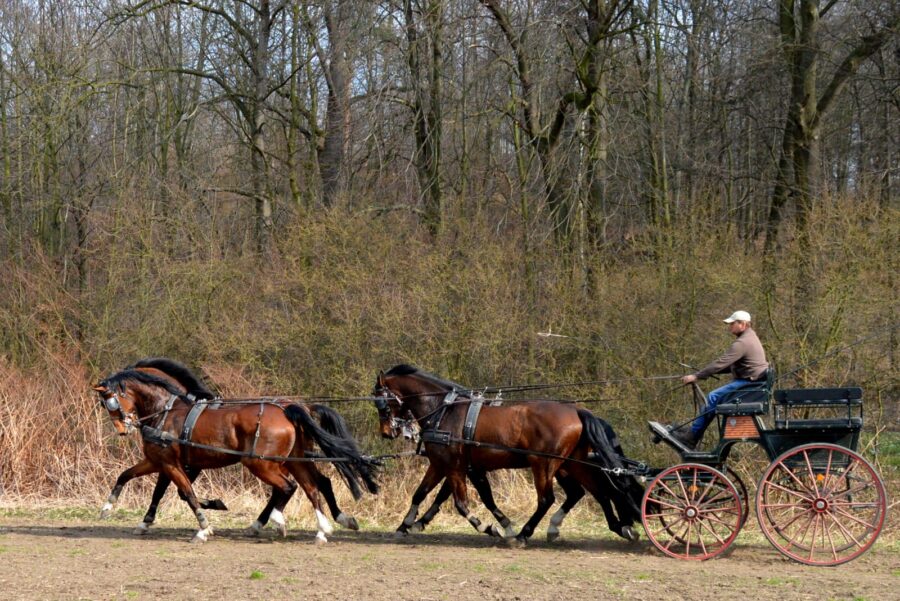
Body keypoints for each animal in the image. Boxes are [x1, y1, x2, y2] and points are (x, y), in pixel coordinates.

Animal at [89, 368, 374, 540]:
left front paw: (204, 527)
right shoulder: (158, 461)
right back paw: (323, 528)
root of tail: (291, 408)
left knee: (289, 487)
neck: (166, 412)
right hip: (294, 459)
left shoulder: (171, 464)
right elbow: (128, 477)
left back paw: (277, 521)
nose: (122, 429)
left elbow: (186, 494)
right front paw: (111, 509)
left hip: (261, 463)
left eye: (110, 401)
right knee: (313, 486)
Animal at [374, 366, 648, 544]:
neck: (445, 410)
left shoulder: (453, 467)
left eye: (380, 400)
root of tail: (578, 410)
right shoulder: (451, 466)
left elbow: (461, 504)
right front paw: (407, 525)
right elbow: (424, 493)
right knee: (598, 492)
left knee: (548, 499)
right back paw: (618, 527)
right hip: (573, 464)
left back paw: (524, 535)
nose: (387, 432)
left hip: (544, 464)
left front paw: (490, 527)